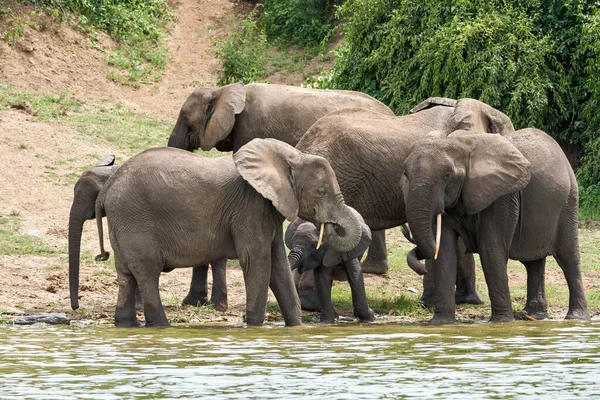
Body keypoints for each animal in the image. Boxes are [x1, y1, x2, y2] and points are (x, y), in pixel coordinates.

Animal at [82, 139, 366, 326]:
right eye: (320, 192)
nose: (328, 225)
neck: (292, 156)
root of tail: (107, 189)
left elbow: (278, 267)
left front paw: (295, 327)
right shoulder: (250, 207)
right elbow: (258, 262)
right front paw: (254, 326)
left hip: (123, 222)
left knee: (126, 275)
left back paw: (126, 325)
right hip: (135, 220)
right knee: (147, 273)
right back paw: (161, 325)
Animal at [400, 130, 588, 324]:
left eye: (448, 175)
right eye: (405, 174)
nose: (422, 269)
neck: (463, 145)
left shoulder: (501, 198)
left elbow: (491, 250)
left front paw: (501, 323)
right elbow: (445, 252)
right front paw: (440, 323)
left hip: (569, 202)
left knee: (568, 258)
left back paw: (576, 318)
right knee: (532, 262)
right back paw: (533, 316)